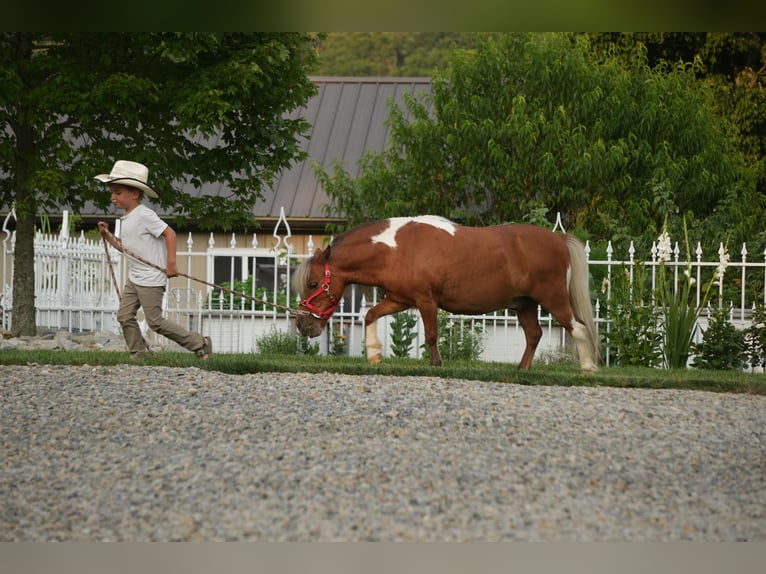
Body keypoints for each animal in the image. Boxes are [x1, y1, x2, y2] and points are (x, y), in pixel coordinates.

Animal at [293, 215, 599, 372]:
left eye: (313, 284)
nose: (303, 324)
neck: (396, 249)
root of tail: (558, 238)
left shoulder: (426, 301)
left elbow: (430, 334)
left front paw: (436, 364)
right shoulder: (400, 300)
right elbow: (370, 316)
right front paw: (375, 355)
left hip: (553, 299)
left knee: (579, 328)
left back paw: (588, 368)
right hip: (524, 305)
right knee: (534, 334)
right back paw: (522, 370)